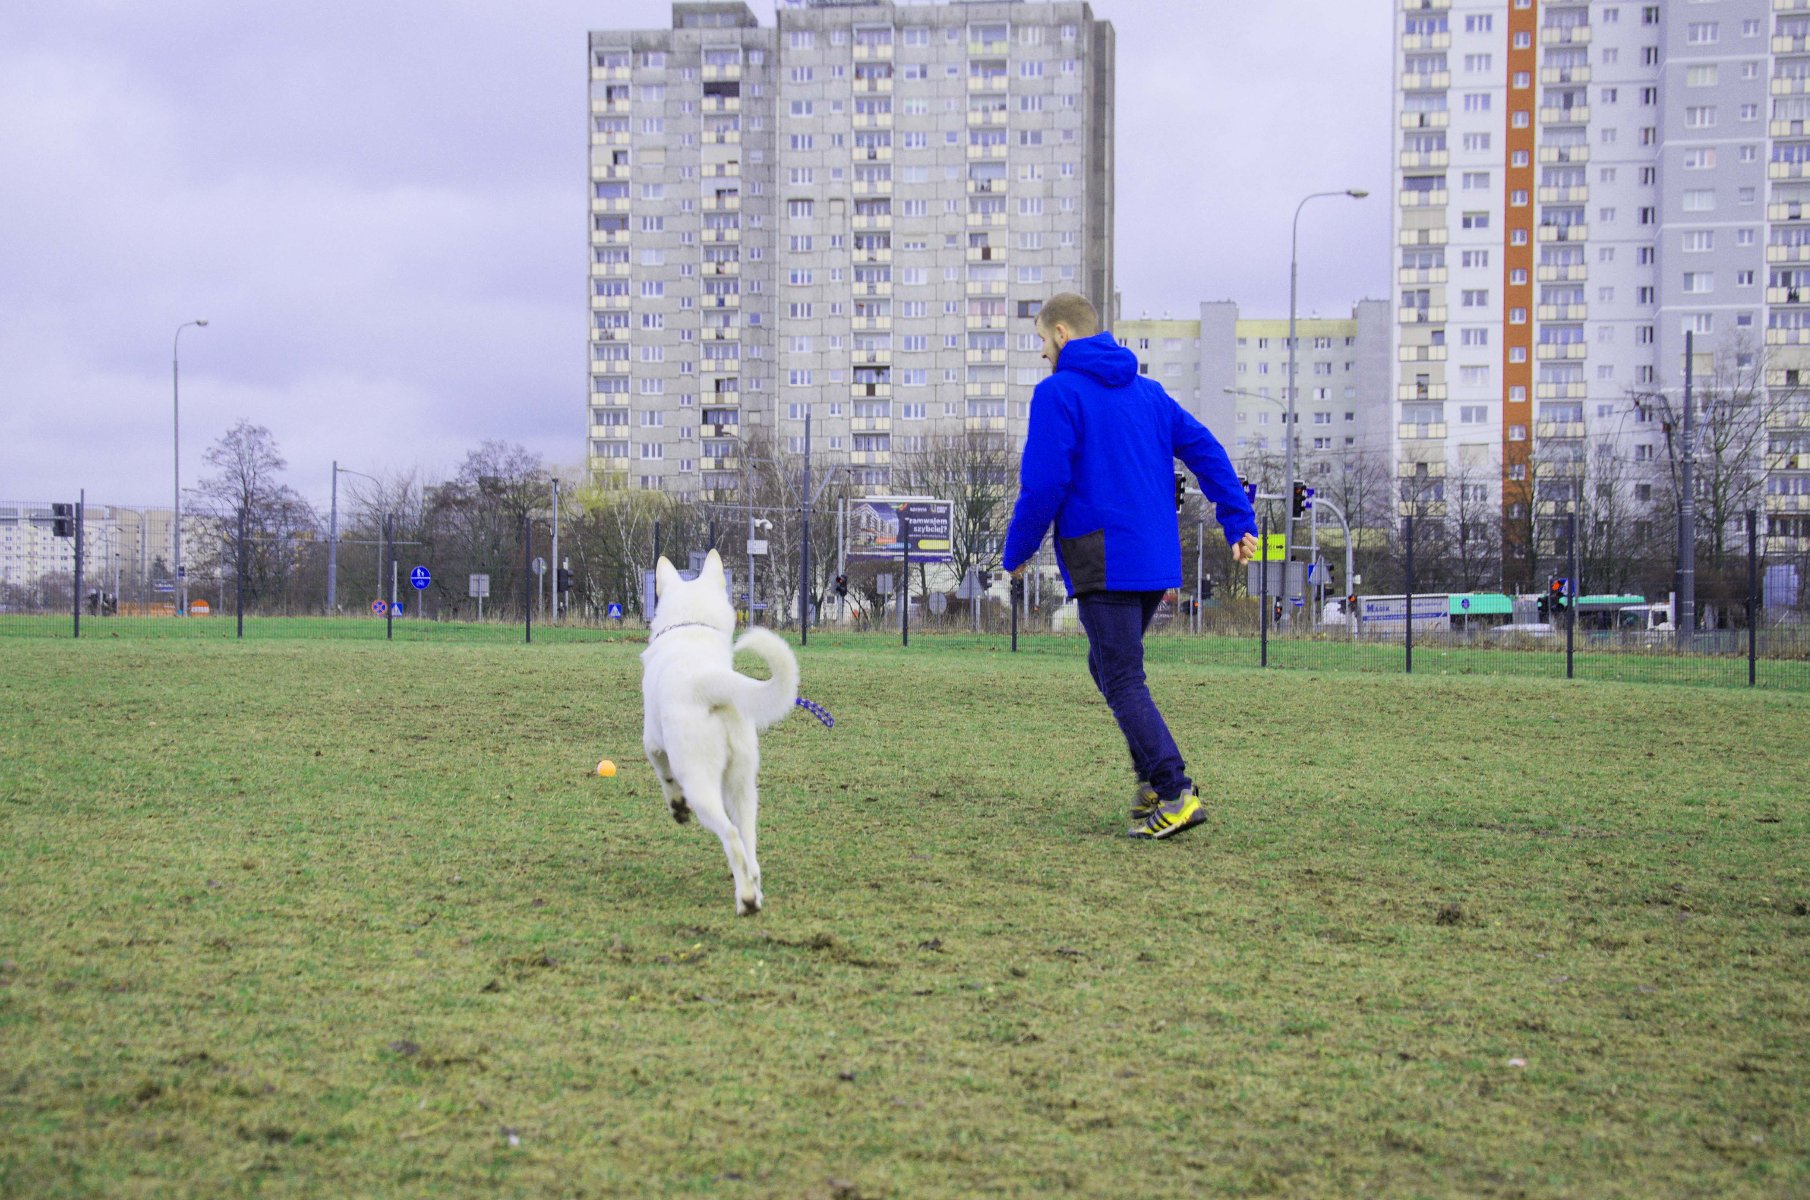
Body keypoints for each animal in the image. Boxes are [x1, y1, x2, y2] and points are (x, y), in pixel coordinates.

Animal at [644, 553, 800, 919]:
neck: (690, 629)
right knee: (748, 844)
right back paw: (753, 888)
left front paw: (677, 808)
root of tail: (710, 682)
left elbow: (663, 774)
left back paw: (746, 900)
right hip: (742, 787)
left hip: (702, 784)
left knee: (730, 836)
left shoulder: (653, 744)